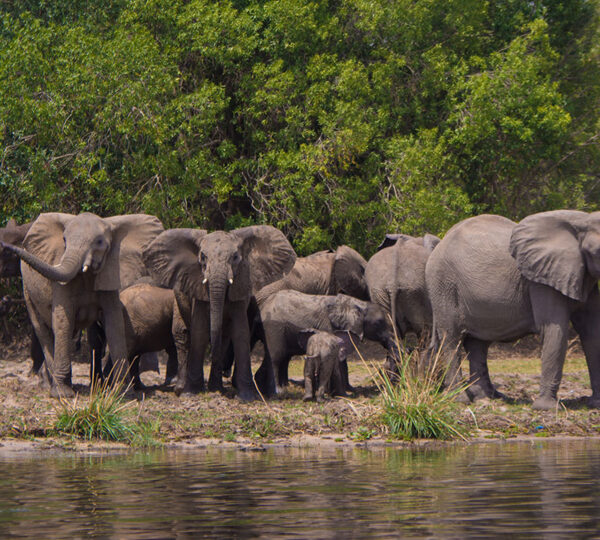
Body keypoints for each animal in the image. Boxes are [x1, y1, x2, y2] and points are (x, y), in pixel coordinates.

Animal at [0, 213, 164, 398]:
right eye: (64, 240)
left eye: (99, 242)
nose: (5, 245)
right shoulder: (60, 283)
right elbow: (63, 320)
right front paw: (63, 395)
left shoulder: (109, 273)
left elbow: (114, 323)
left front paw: (124, 394)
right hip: (27, 290)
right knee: (43, 330)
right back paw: (51, 386)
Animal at [144, 225, 298, 400]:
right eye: (203, 257)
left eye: (236, 257)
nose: (225, 372)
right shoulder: (199, 289)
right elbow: (200, 331)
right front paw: (191, 393)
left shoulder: (242, 285)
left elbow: (240, 332)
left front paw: (247, 397)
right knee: (183, 335)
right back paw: (182, 389)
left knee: (224, 338)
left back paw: (216, 388)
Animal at [254, 294, 398, 394]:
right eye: (379, 323)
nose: (391, 381)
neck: (358, 304)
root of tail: (262, 306)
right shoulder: (328, 327)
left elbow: (342, 359)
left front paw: (351, 390)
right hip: (273, 327)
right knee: (276, 357)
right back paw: (278, 391)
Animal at [426, 210, 600, 410]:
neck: (582, 221)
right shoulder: (540, 280)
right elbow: (554, 330)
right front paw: (547, 408)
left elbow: (592, 331)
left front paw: (596, 404)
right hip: (442, 285)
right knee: (451, 338)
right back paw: (460, 399)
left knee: (477, 344)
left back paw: (486, 398)